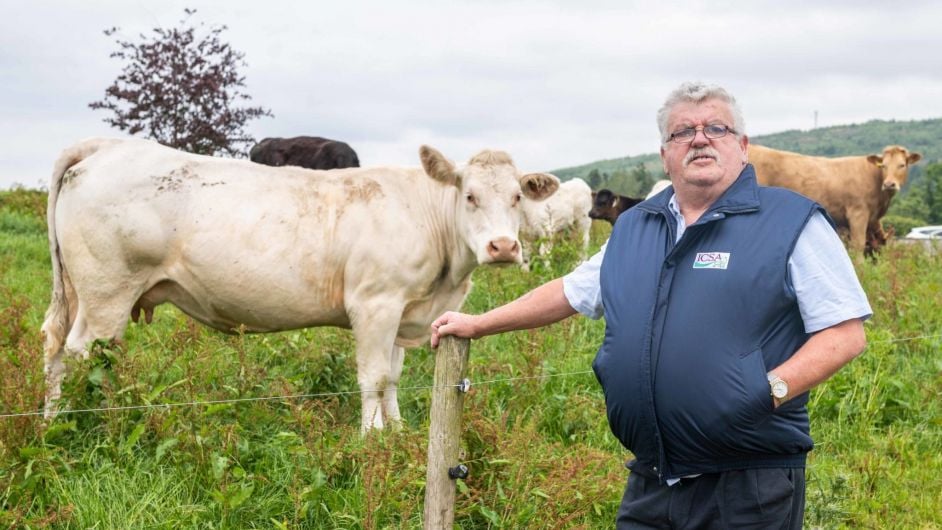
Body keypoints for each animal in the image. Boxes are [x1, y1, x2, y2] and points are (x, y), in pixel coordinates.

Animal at [42, 137, 560, 428]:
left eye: (517, 197)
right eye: (469, 195)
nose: (502, 247)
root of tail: (109, 146)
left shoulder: (403, 310)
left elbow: (392, 377)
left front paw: (398, 432)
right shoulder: (375, 303)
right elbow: (372, 377)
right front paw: (372, 437)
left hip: (76, 290)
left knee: (56, 345)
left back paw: (52, 423)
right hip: (108, 289)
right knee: (88, 352)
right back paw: (101, 424)